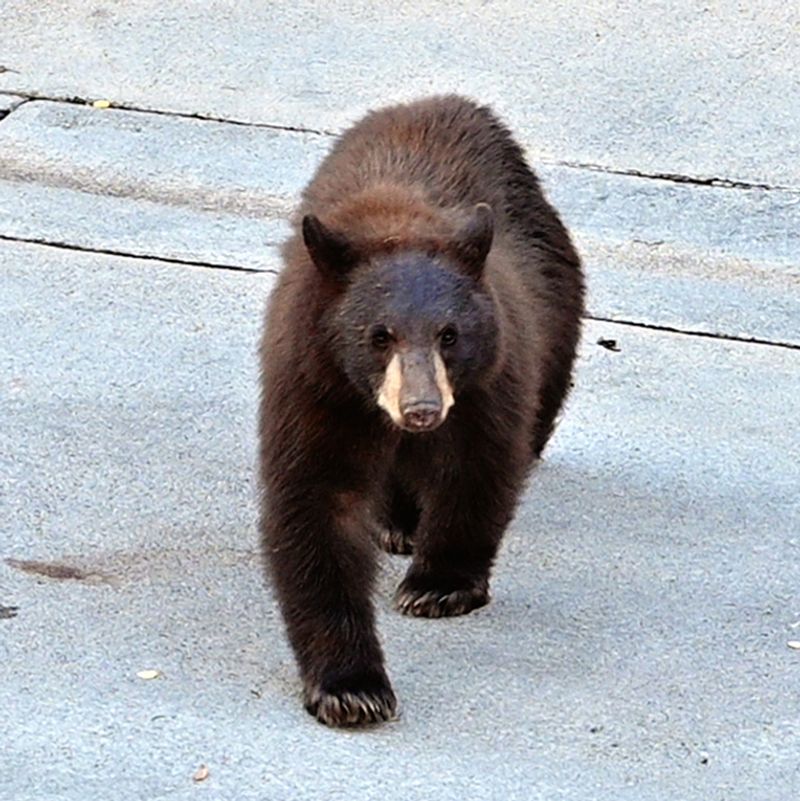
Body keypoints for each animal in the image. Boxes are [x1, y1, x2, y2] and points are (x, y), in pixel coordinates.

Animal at [258, 95, 584, 727]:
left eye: (449, 334)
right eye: (378, 335)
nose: (422, 409)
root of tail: (443, 102)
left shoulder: (490, 380)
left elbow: (477, 468)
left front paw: (438, 585)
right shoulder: (314, 385)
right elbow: (316, 504)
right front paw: (351, 686)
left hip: (558, 312)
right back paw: (397, 522)